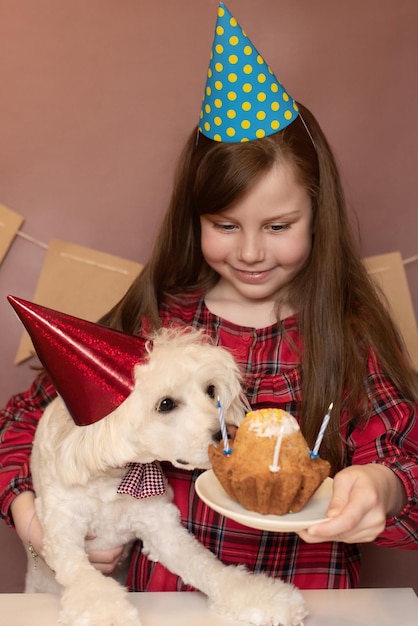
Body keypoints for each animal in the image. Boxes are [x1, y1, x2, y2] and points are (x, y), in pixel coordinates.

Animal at [27, 326, 306, 624]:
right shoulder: (63, 531)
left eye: (210, 389)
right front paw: (106, 613)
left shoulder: (162, 528)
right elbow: (83, 579)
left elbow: (207, 566)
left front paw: (264, 597)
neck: (114, 479)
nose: (229, 432)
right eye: (165, 404)